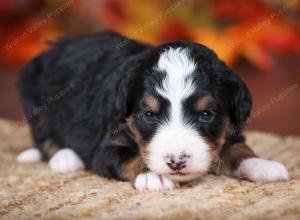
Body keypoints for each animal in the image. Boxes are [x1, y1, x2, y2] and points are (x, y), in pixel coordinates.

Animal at [17, 31, 288, 192]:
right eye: (149, 115)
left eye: (205, 115)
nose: (176, 162)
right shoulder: (107, 147)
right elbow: (131, 156)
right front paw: (153, 175)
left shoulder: (229, 130)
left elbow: (239, 148)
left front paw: (262, 165)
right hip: (34, 101)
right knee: (45, 141)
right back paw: (65, 158)